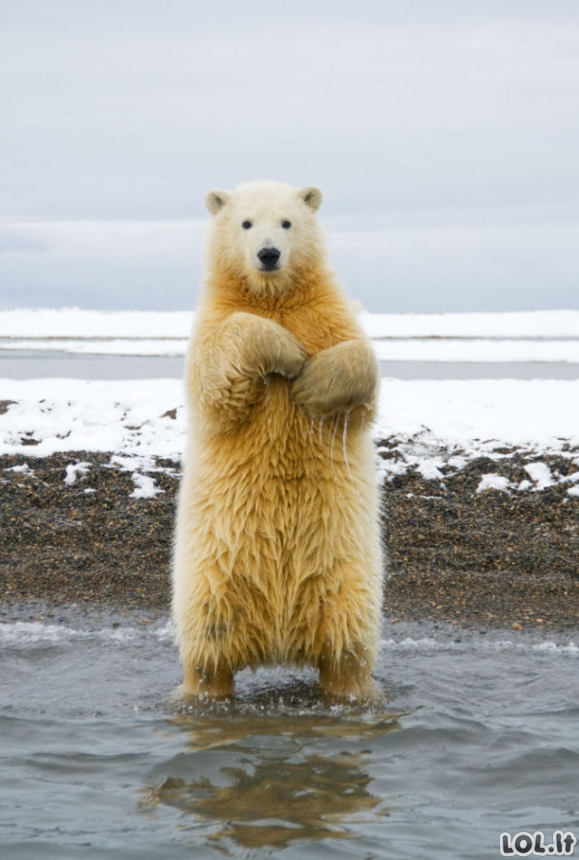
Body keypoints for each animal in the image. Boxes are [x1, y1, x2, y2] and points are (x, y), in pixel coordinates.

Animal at [171, 180, 386, 700]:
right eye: (245, 222)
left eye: (287, 222)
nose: (268, 254)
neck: (273, 297)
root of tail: (279, 643)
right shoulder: (214, 320)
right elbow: (215, 377)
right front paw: (286, 353)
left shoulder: (326, 313)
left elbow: (361, 363)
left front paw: (311, 385)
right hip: (211, 576)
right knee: (208, 645)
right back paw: (201, 689)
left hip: (345, 575)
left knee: (348, 643)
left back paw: (353, 690)